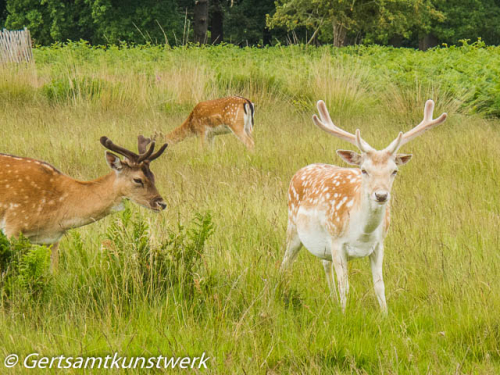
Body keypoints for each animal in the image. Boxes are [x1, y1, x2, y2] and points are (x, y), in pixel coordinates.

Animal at [0, 135, 169, 270]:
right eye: (138, 179)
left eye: (153, 176)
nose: (161, 203)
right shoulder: (13, 226)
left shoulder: (51, 239)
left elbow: (53, 274)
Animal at [282, 100, 450, 314]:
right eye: (364, 170)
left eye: (394, 171)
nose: (381, 195)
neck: (362, 233)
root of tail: (301, 170)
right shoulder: (337, 242)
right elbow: (345, 286)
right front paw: (344, 315)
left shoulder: (379, 244)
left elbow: (379, 285)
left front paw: (385, 315)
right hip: (293, 227)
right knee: (286, 262)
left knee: (324, 264)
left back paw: (331, 299)